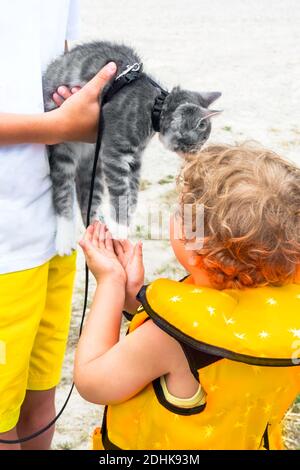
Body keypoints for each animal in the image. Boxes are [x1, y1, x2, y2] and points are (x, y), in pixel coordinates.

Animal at [42, 41, 220, 253]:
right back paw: (64, 237)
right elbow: (120, 191)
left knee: (88, 198)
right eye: (198, 143)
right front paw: (119, 227)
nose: (196, 155)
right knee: (63, 192)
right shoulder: (114, 153)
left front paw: (124, 224)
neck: (155, 106)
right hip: (63, 148)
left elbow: (133, 193)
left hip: (93, 161)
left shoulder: (134, 159)